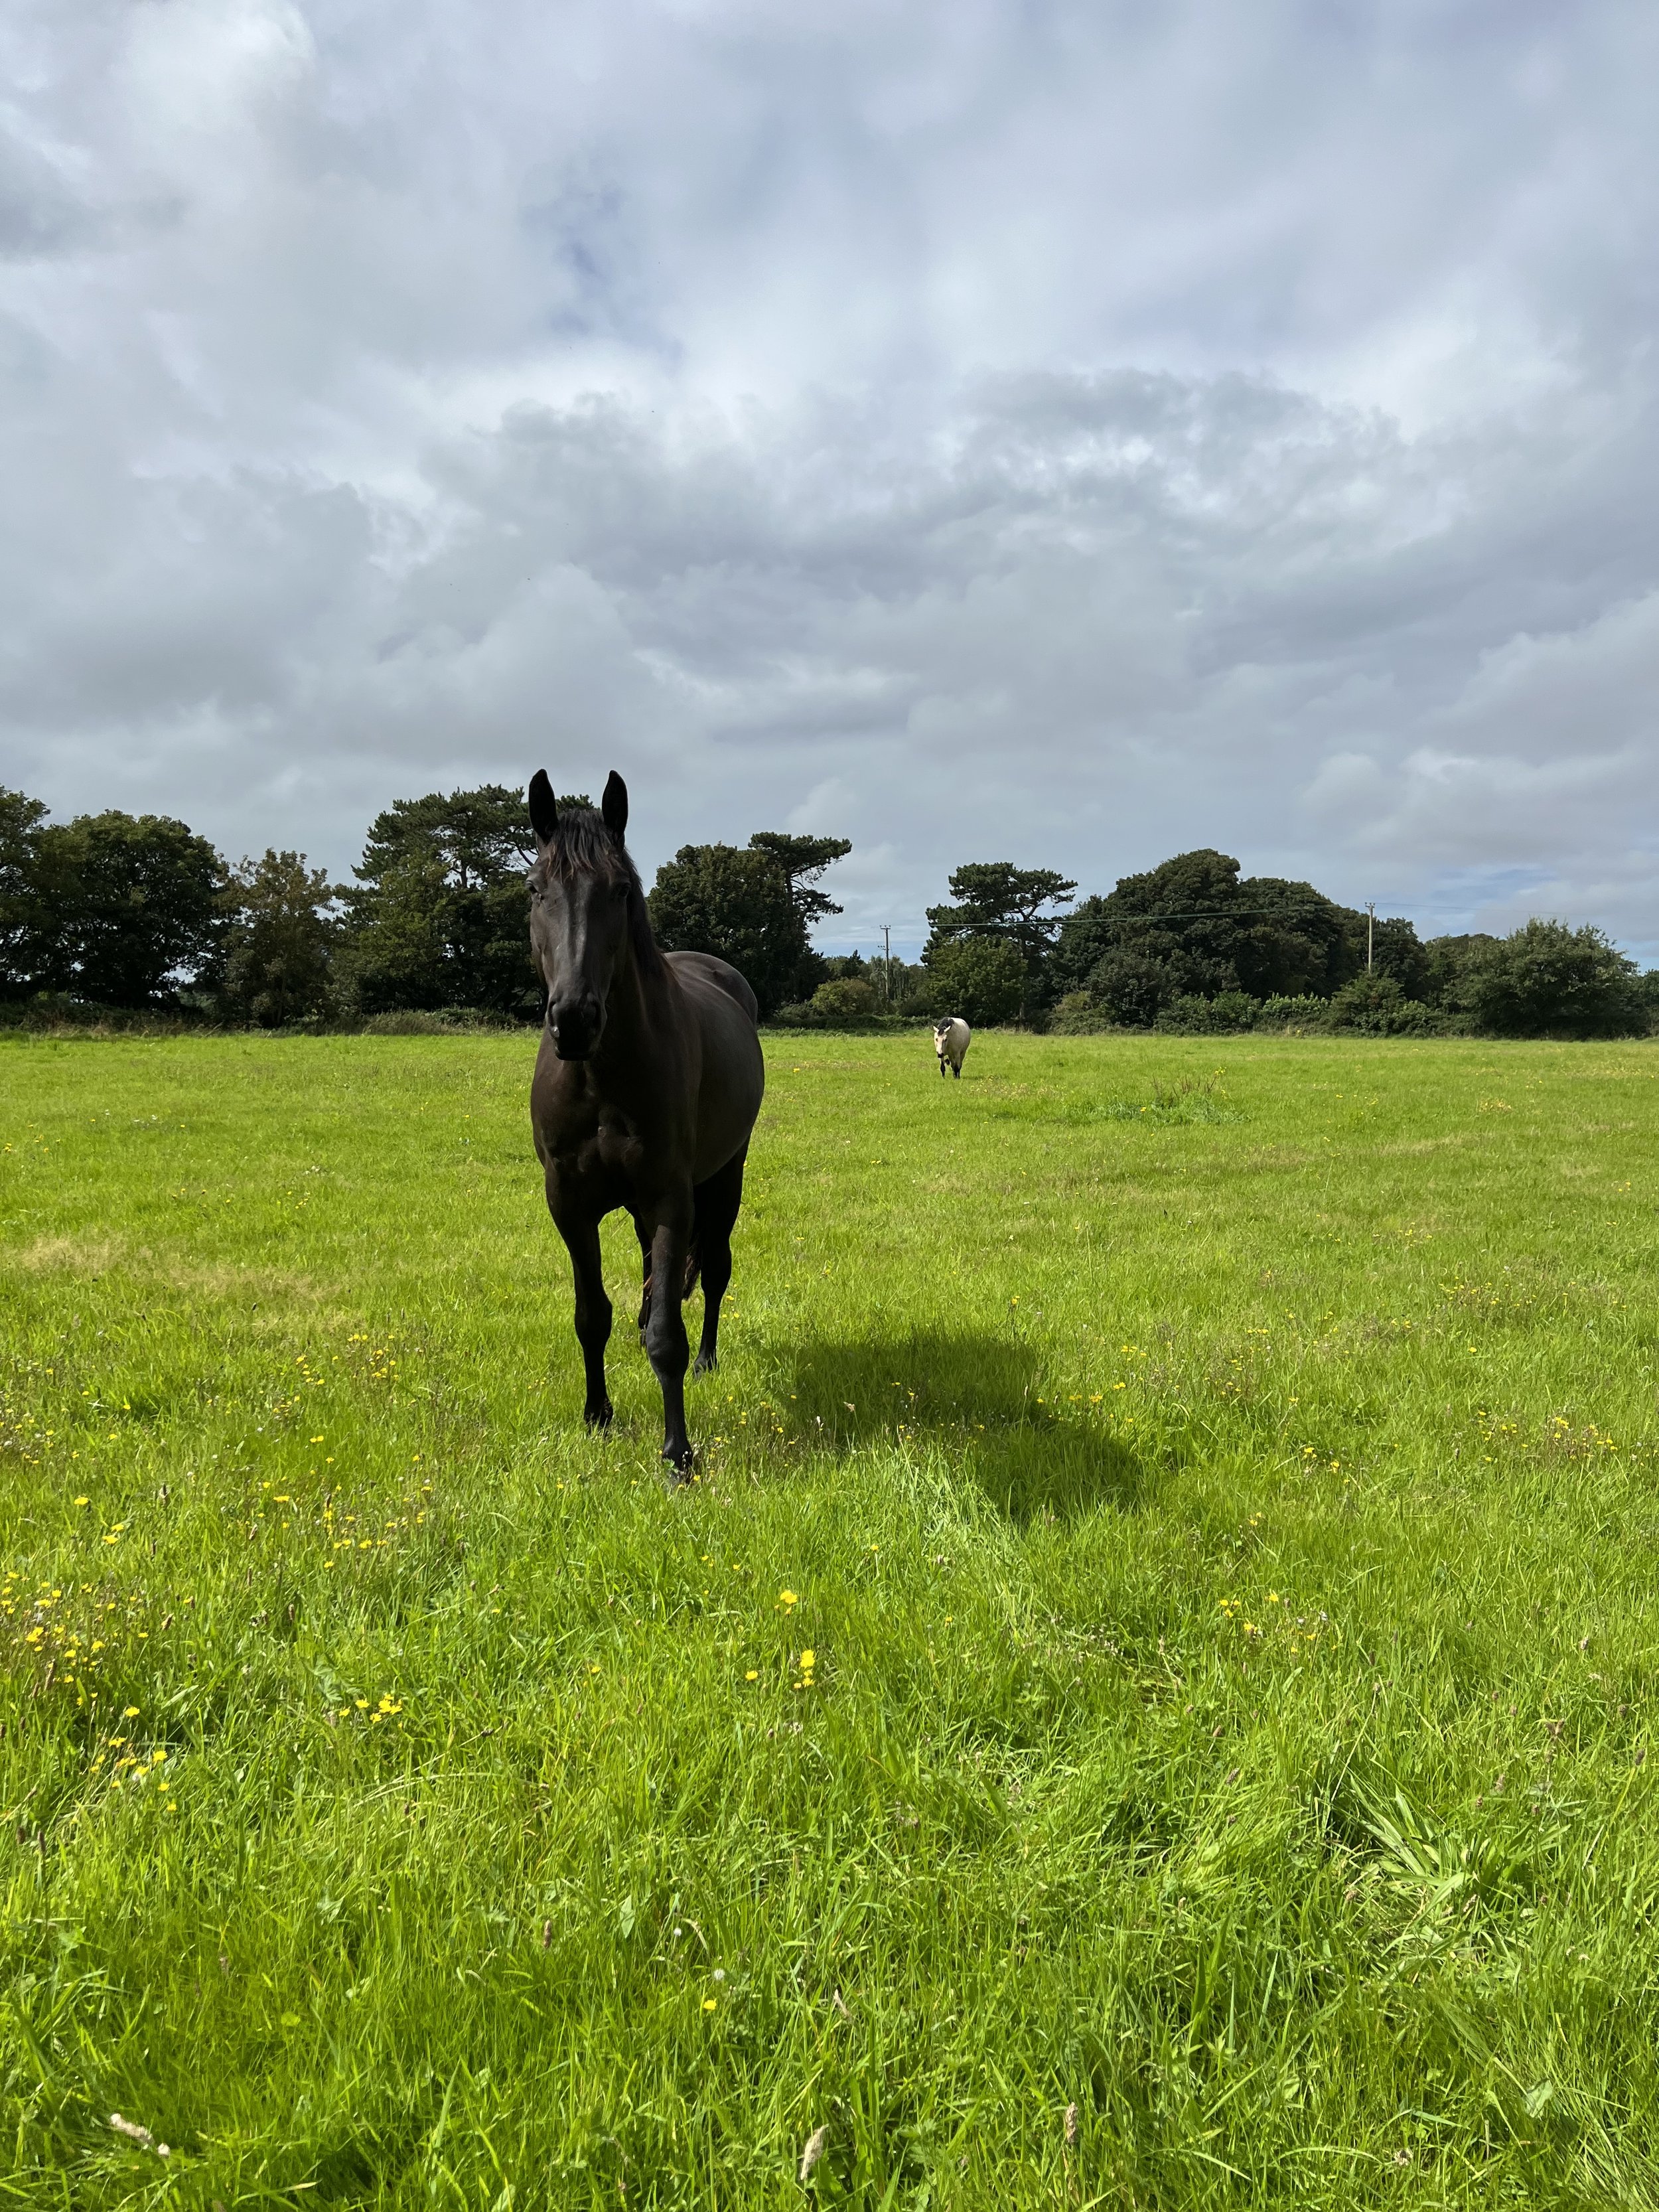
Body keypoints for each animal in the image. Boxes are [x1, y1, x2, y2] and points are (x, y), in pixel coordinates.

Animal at [526, 770, 765, 1475]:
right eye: (535, 889)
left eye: (621, 890)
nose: (574, 1019)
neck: (602, 1075)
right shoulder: (568, 1203)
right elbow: (591, 1315)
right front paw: (597, 1415)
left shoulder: (669, 1198)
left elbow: (668, 1336)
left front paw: (678, 1452)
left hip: (725, 1177)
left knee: (713, 1270)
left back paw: (710, 1357)